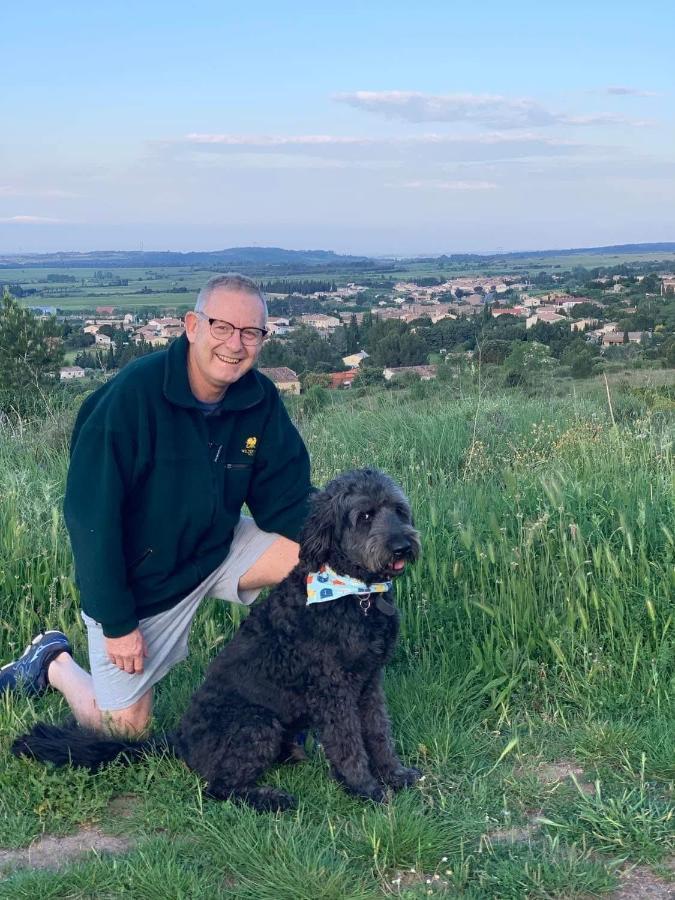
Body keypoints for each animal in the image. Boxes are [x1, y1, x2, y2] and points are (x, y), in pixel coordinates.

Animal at [13, 468, 420, 812]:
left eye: (398, 510)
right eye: (364, 515)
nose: (402, 546)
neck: (355, 593)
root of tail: (180, 739)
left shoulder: (369, 682)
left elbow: (378, 732)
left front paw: (395, 775)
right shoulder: (333, 690)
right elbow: (350, 743)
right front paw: (365, 788)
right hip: (256, 722)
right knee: (219, 789)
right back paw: (270, 798)